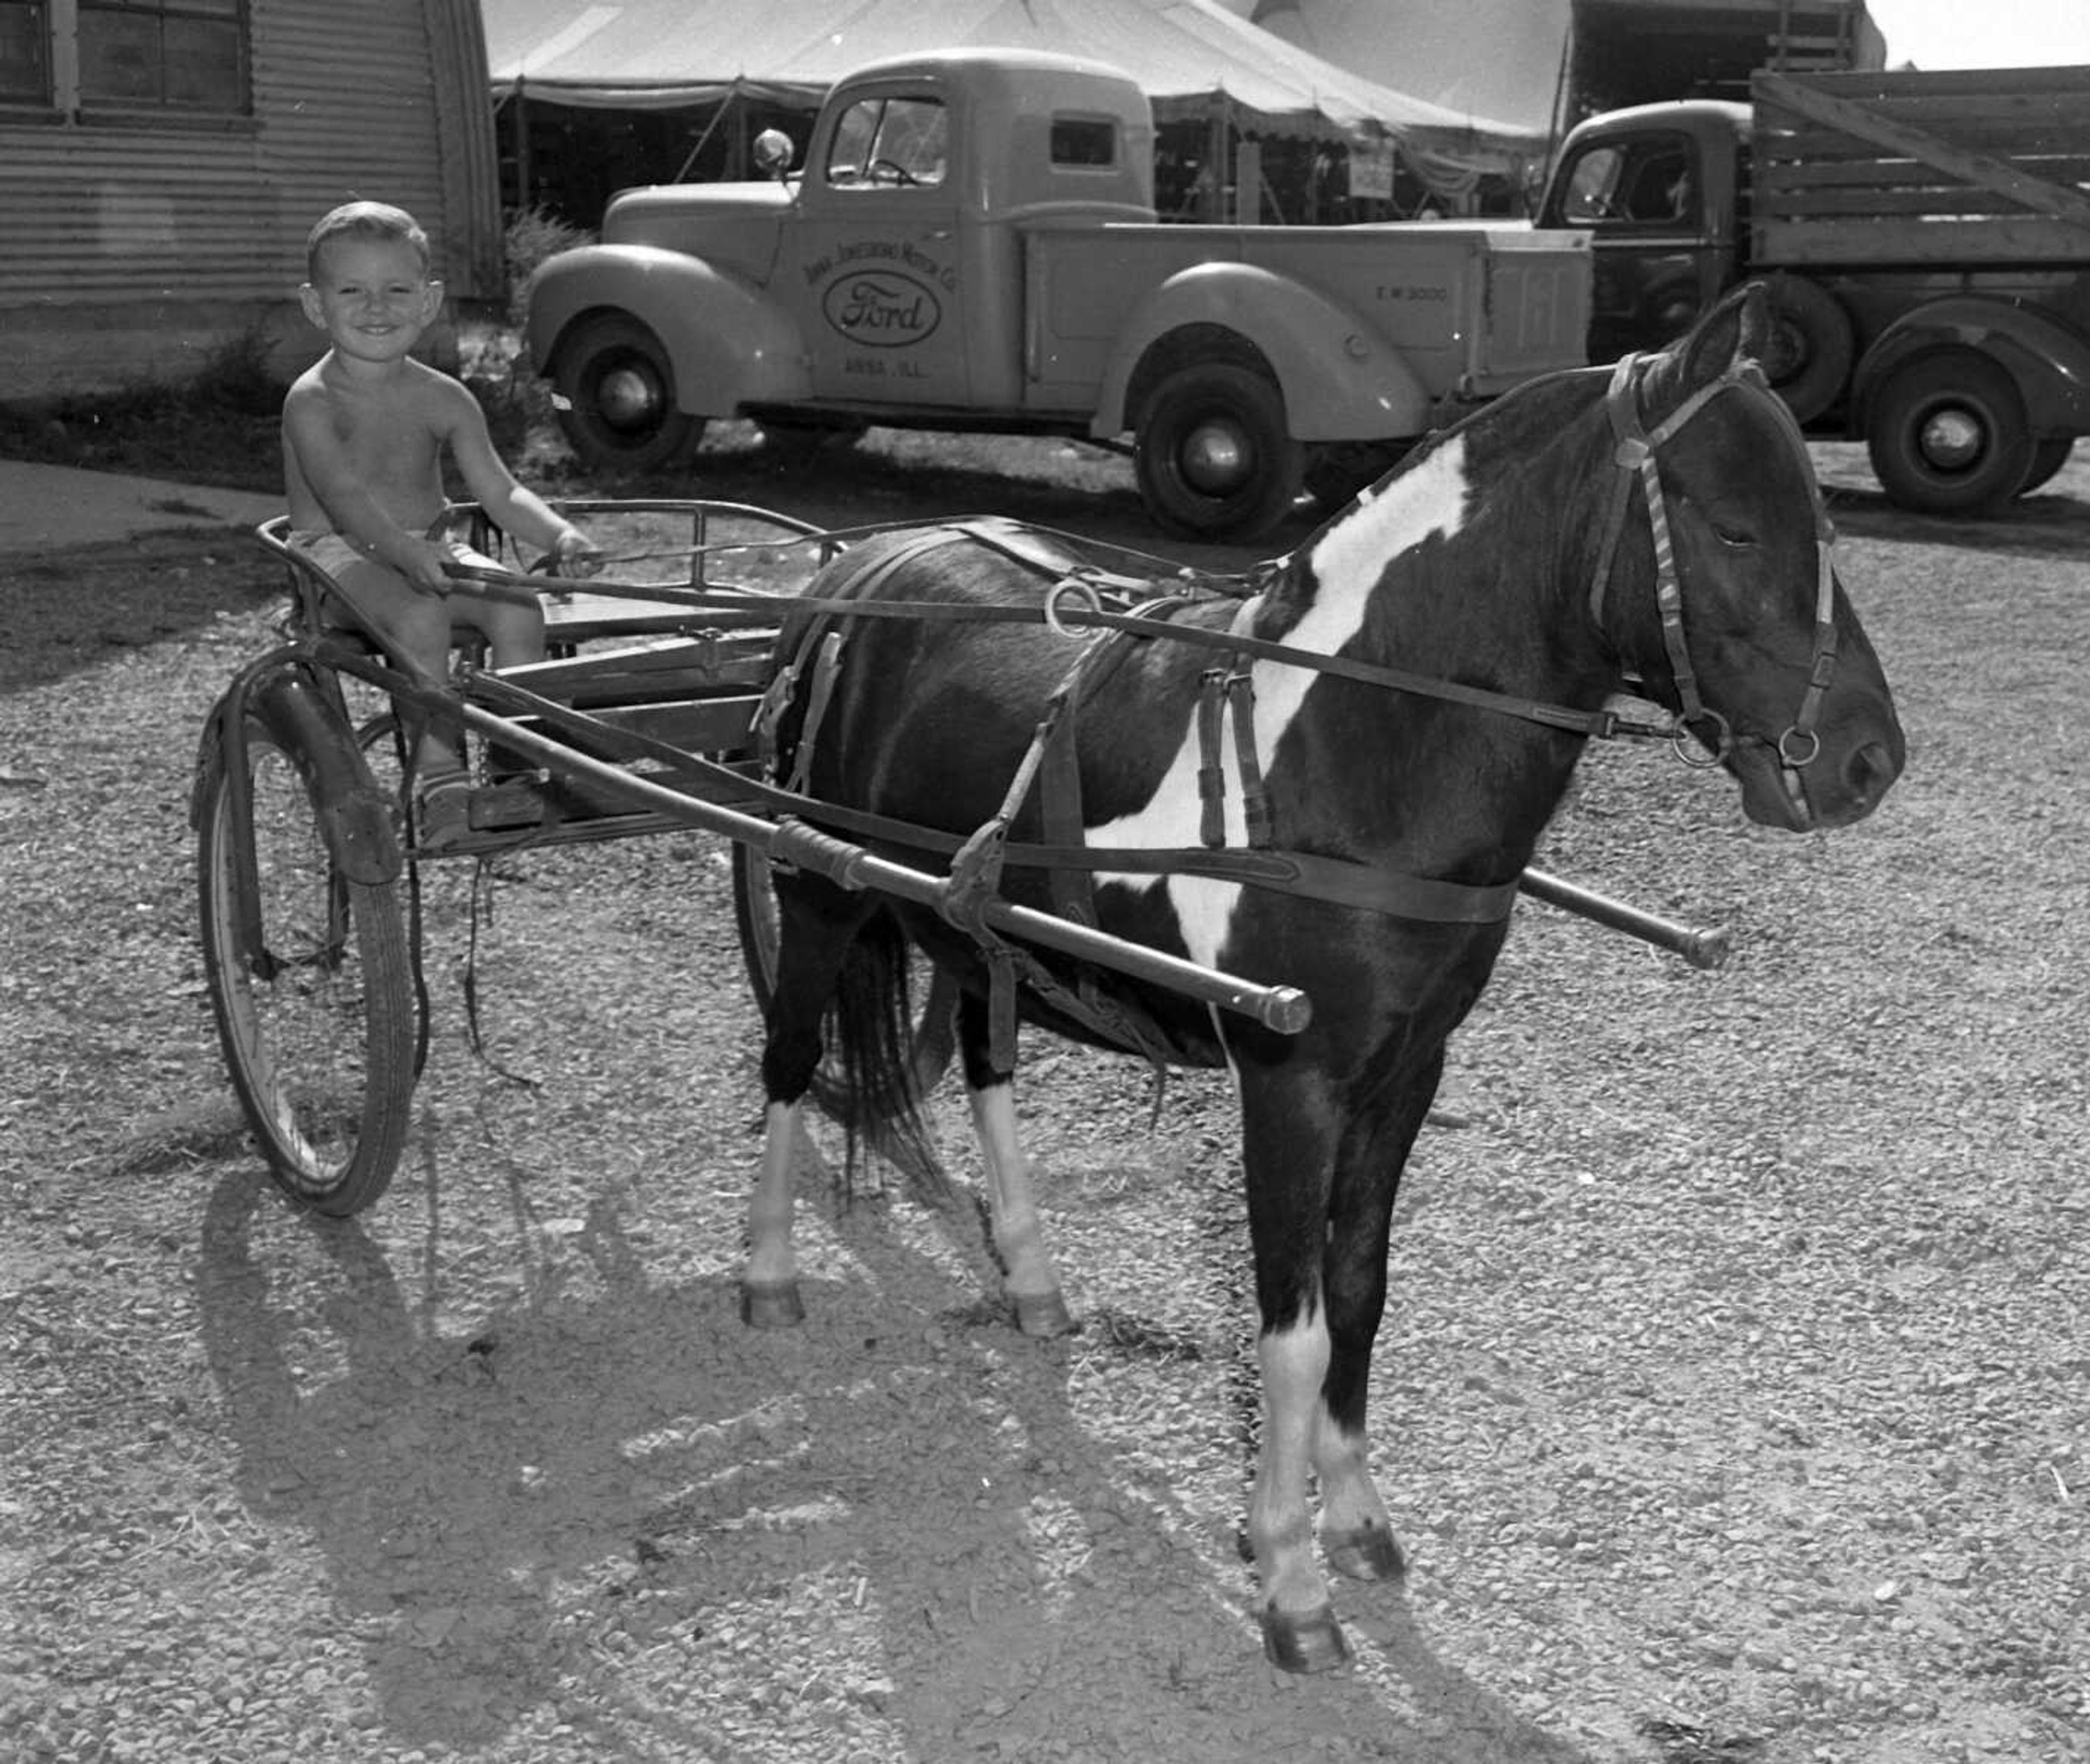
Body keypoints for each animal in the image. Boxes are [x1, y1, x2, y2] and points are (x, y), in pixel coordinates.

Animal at [740, 286, 1914, 1663]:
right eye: (1733, 524)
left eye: (1820, 518)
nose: (1868, 759)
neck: (1339, 747)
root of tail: (855, 570)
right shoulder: (1289, 1080)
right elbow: (1289, 1329)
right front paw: (1289, 1573)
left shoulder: (1405, 1070)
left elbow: (1358, 1294)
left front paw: (1351, 1514)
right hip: (817, 891)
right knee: (789, 1059)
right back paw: (767, 1270)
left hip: (982, 927)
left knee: (984, 1061)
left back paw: (1029, 1277)